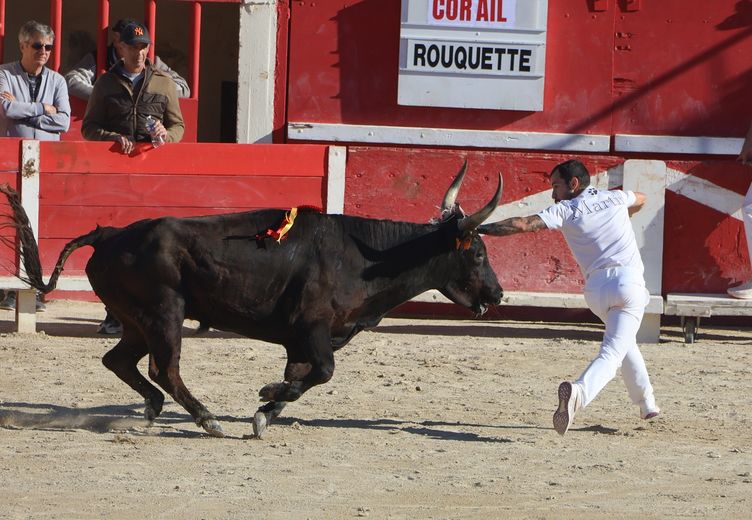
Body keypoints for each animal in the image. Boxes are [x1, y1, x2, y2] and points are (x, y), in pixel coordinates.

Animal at [1, 164, 506, 438]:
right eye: (478, 253)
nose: (498, 293)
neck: (363, 257)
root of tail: (109, 233)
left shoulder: (301, 342)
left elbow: (301, 379)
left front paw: (265, 414)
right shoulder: (312, 328)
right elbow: (323, 372)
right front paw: (264, 398)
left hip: (135, 320)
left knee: (120, 361)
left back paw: (154, 408)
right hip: (164, 314)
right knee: (164, 368)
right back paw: (207, 419)